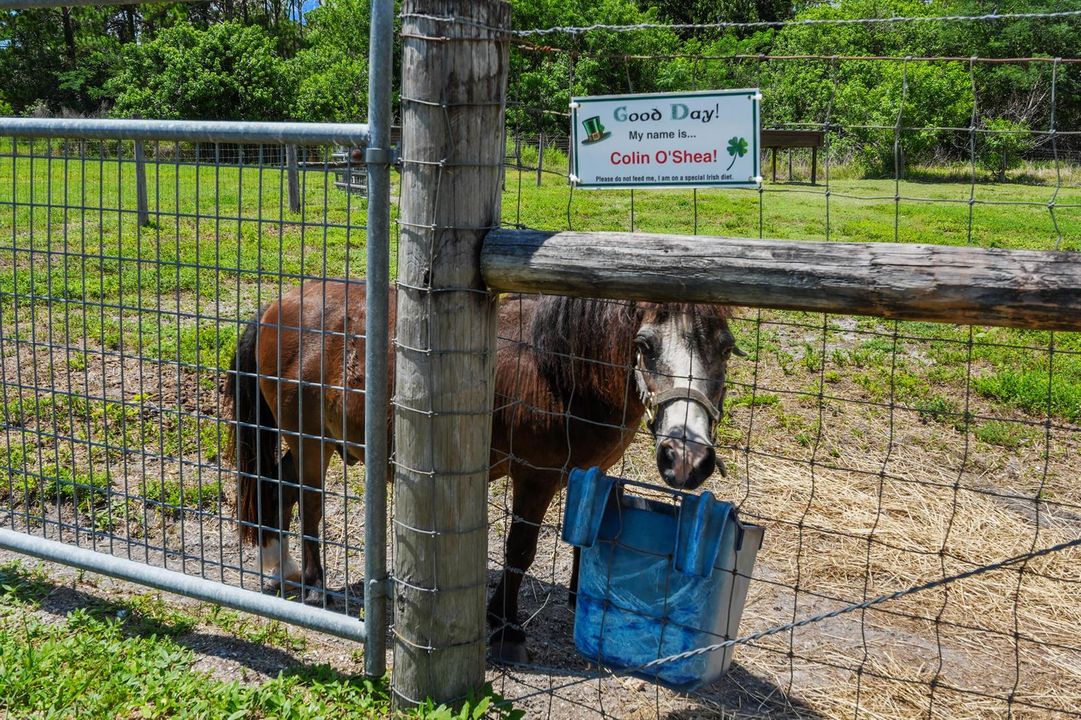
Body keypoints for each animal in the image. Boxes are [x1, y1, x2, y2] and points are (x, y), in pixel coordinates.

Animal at [223, 278, 741, 661]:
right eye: (646, 346)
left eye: (726, 348)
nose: (686, 459)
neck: (557, 367)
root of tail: (274, 306)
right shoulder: (535, 477)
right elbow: (520, 551)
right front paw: (507, 628)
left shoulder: (588, 471)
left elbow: (585, 538)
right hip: (311, 442)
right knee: (309, 502)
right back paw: (313, 585)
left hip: (319, 442)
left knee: (279, 487)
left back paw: (282, 567)